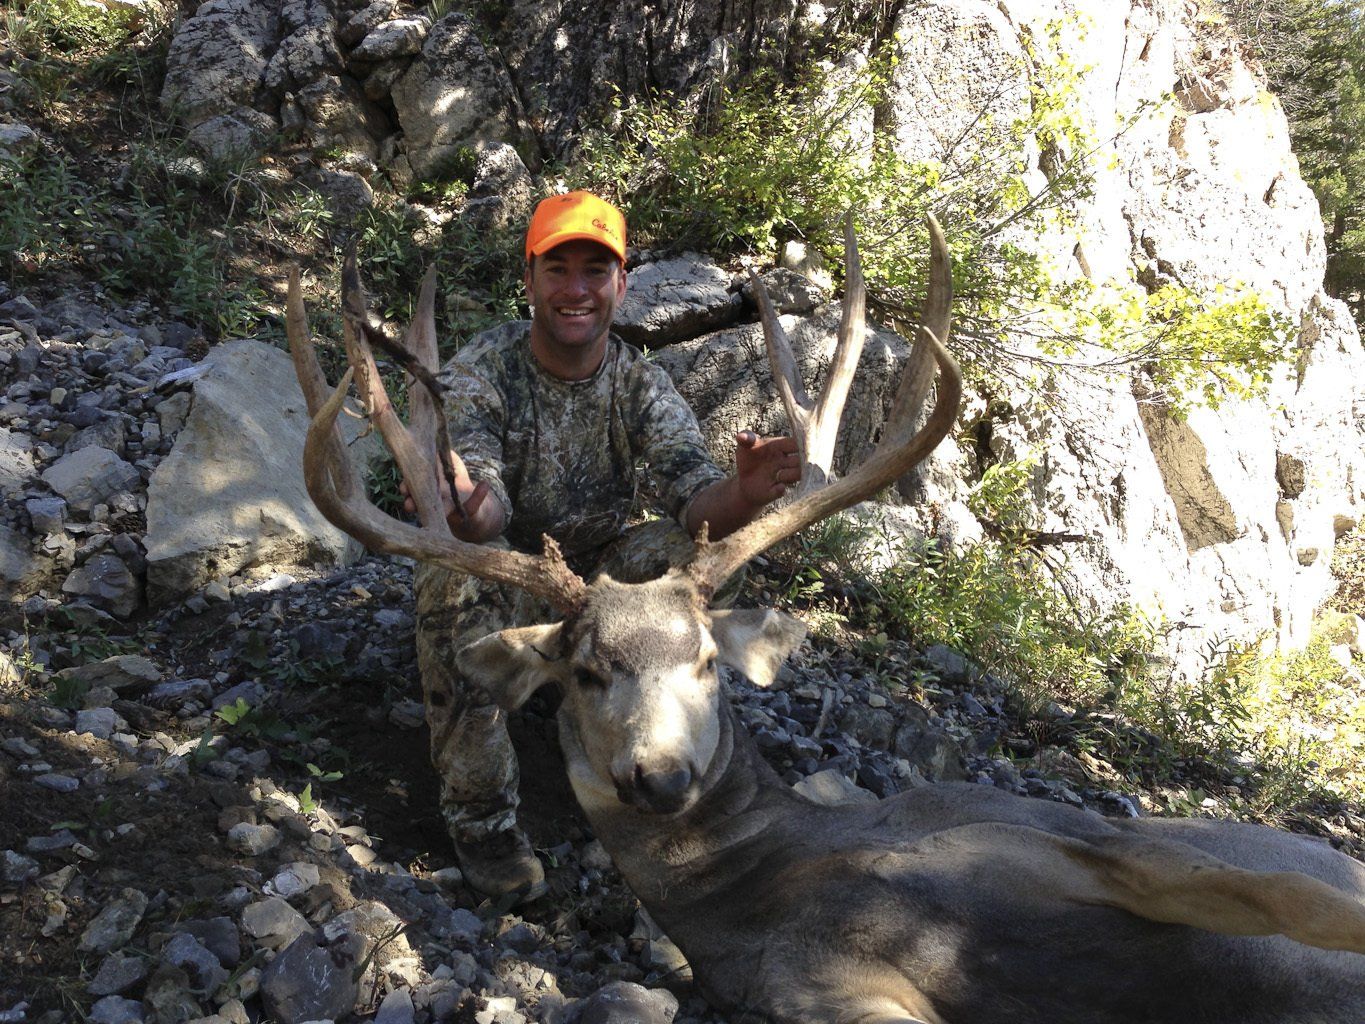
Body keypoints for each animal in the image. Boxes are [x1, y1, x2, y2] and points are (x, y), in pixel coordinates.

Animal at [285, 217, 1365, 1024]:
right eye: (584, 671)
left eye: (707, 661)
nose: (660, 774)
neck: (793, 866)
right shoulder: (815, 993)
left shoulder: (1062, 834)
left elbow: (1300, 899)